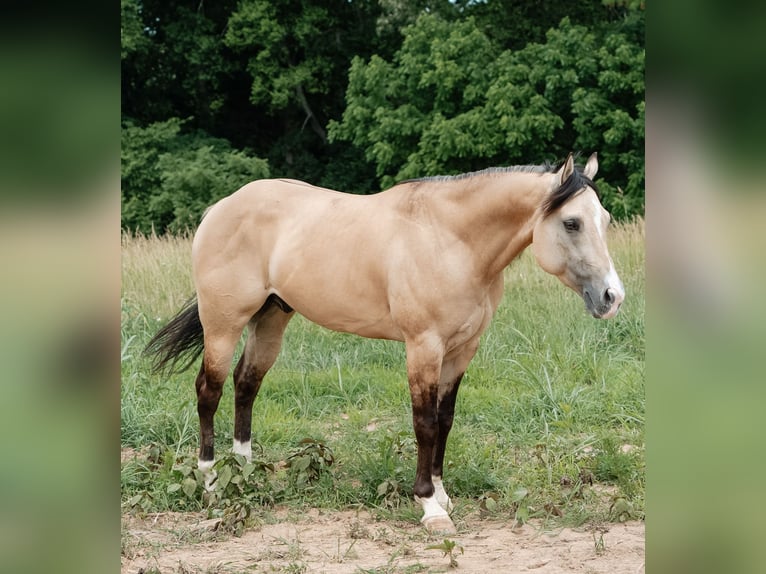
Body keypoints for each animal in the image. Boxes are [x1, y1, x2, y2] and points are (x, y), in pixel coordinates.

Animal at [145, 152, 624, 534]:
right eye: (572, 222)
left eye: (603, 220)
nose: (611, 297)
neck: (451, 240)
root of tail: (221, 208)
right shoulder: (423, 346)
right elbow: (424, 423)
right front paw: (430, 506)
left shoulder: (462, 350)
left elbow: (445, 420)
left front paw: (443, 495)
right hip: (222, 325)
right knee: (209, 391)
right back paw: (210, 483)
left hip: (271, 320)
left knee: (246, 385)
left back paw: (244, 472)